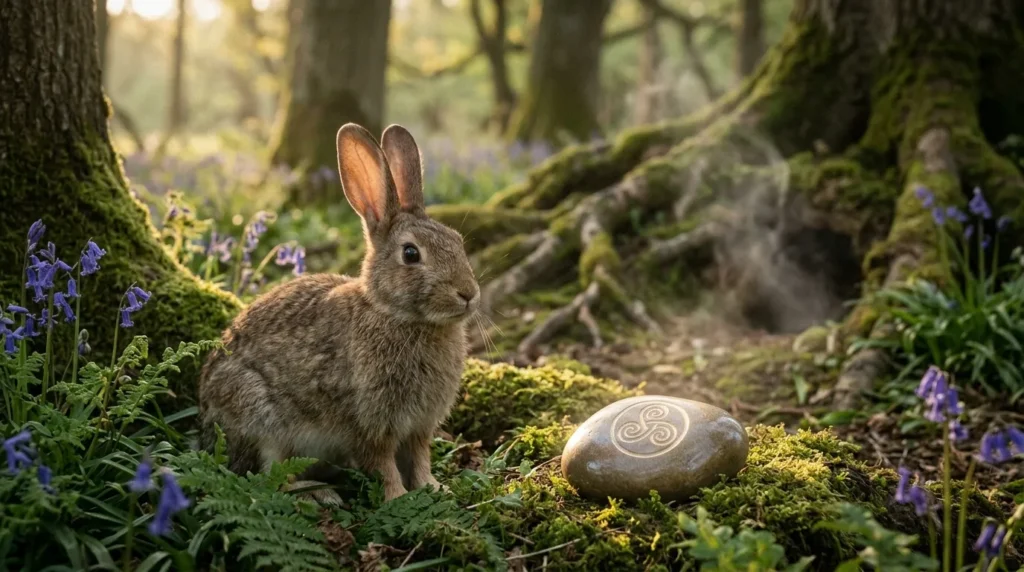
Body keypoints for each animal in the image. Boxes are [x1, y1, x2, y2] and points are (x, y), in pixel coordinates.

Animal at [197, 123, 480, 503]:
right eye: (410, 254)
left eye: (457, 241)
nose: (468, 294)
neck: (397, 314)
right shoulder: (368, 421)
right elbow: (382, 462)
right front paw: (397, 497)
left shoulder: (419, 426)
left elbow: (419, 458)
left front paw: (435, 489)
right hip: (258, 417)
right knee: (268, 477)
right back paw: (317, 495)